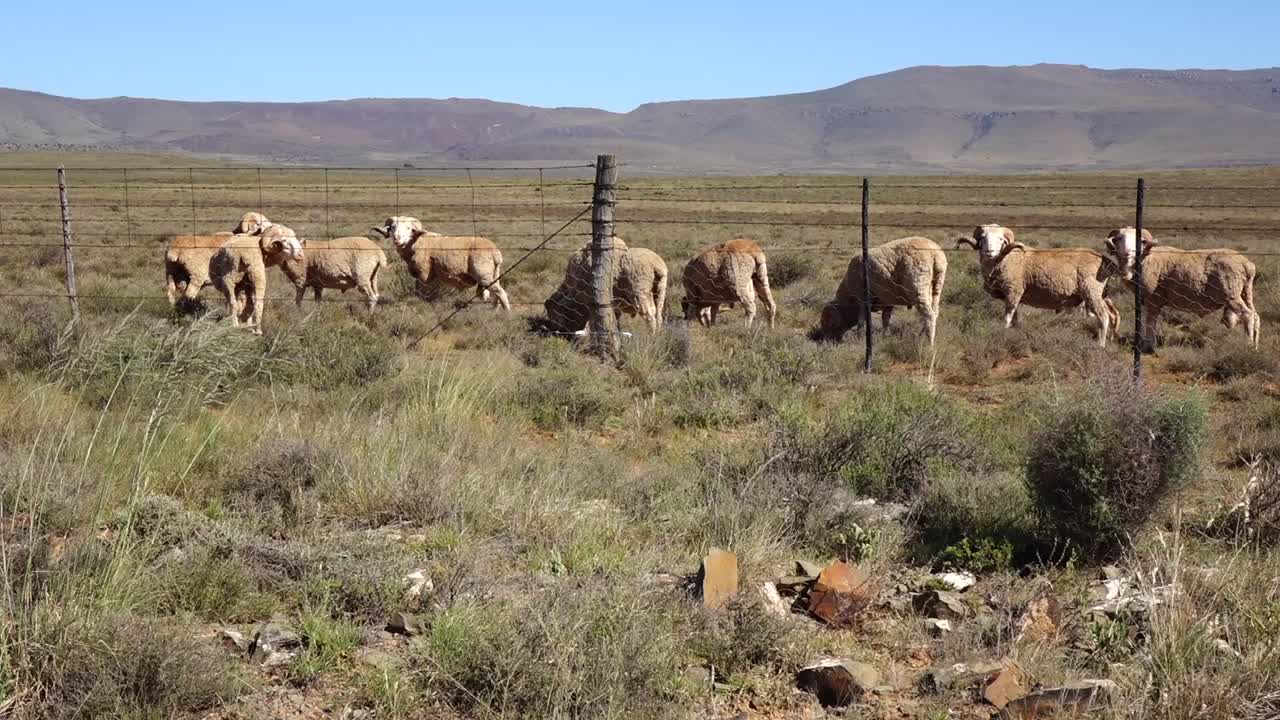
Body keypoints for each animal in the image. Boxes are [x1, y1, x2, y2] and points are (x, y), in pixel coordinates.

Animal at [372, 216, 510, 310]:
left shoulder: (423, 273)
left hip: (483, 275)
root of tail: (495, 251)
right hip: (493, 274)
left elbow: (421, 292)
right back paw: (495, 310)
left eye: (408, 228)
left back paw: (506, 313)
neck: (415, 242)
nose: (397, 239)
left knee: (501, 292)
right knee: (496, 293)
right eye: (393, 227)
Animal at [816, 236, 947, 348]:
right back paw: (921, 336)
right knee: (934, 312)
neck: (849, 297)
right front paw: (885, 336)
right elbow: (885, 319)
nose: (825, 342)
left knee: (928, 314)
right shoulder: (888, 300)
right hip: (936, 285)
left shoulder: (863, 298)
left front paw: (859, 337)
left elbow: (861, 320)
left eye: (830, 323)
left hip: (918, 284)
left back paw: (929, 344)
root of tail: (934, 253)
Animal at [954, 224, 1121, 347]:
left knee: (1103, 316)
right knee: (1113, 314)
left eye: (1001, 239)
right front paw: (1015, 333)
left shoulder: (1013, 291)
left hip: (1091, 291)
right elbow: (1016, 318)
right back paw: (1111, 339)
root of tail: (1107, 261)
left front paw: (1002, 334)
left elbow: (1007, 318)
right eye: (983, 238)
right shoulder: (1014, 296)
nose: (989, 251)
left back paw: (1100, 345)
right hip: (1101, 294)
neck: (1006, 258)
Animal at [1103, 226, 1259, 350]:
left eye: (1139, 240)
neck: (1144, 260)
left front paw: (1148, 345)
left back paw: (1248, 345)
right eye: (1119, 238)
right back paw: (1255, 346)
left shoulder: (1153, 300)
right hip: (1245, 292)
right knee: (1255, 315)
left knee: (1247, 315)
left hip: (1231, 295)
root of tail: (1247, 264)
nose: (1126, 253)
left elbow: (1150, 323)